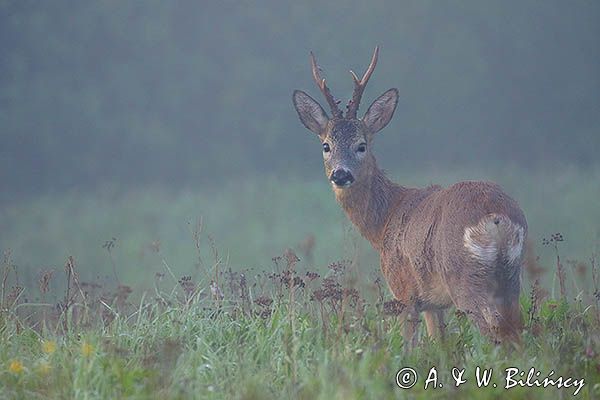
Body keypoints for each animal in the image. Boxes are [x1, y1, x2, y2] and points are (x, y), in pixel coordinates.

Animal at [292, 46, 528, 340]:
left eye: (361, 145)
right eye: (326, 146)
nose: (341, 174)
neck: (385, 221)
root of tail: (495, 217)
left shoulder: (405, 292)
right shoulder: (433, 303)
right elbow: (441, 343)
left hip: (465, 279)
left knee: (493, 330)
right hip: (511, 278)